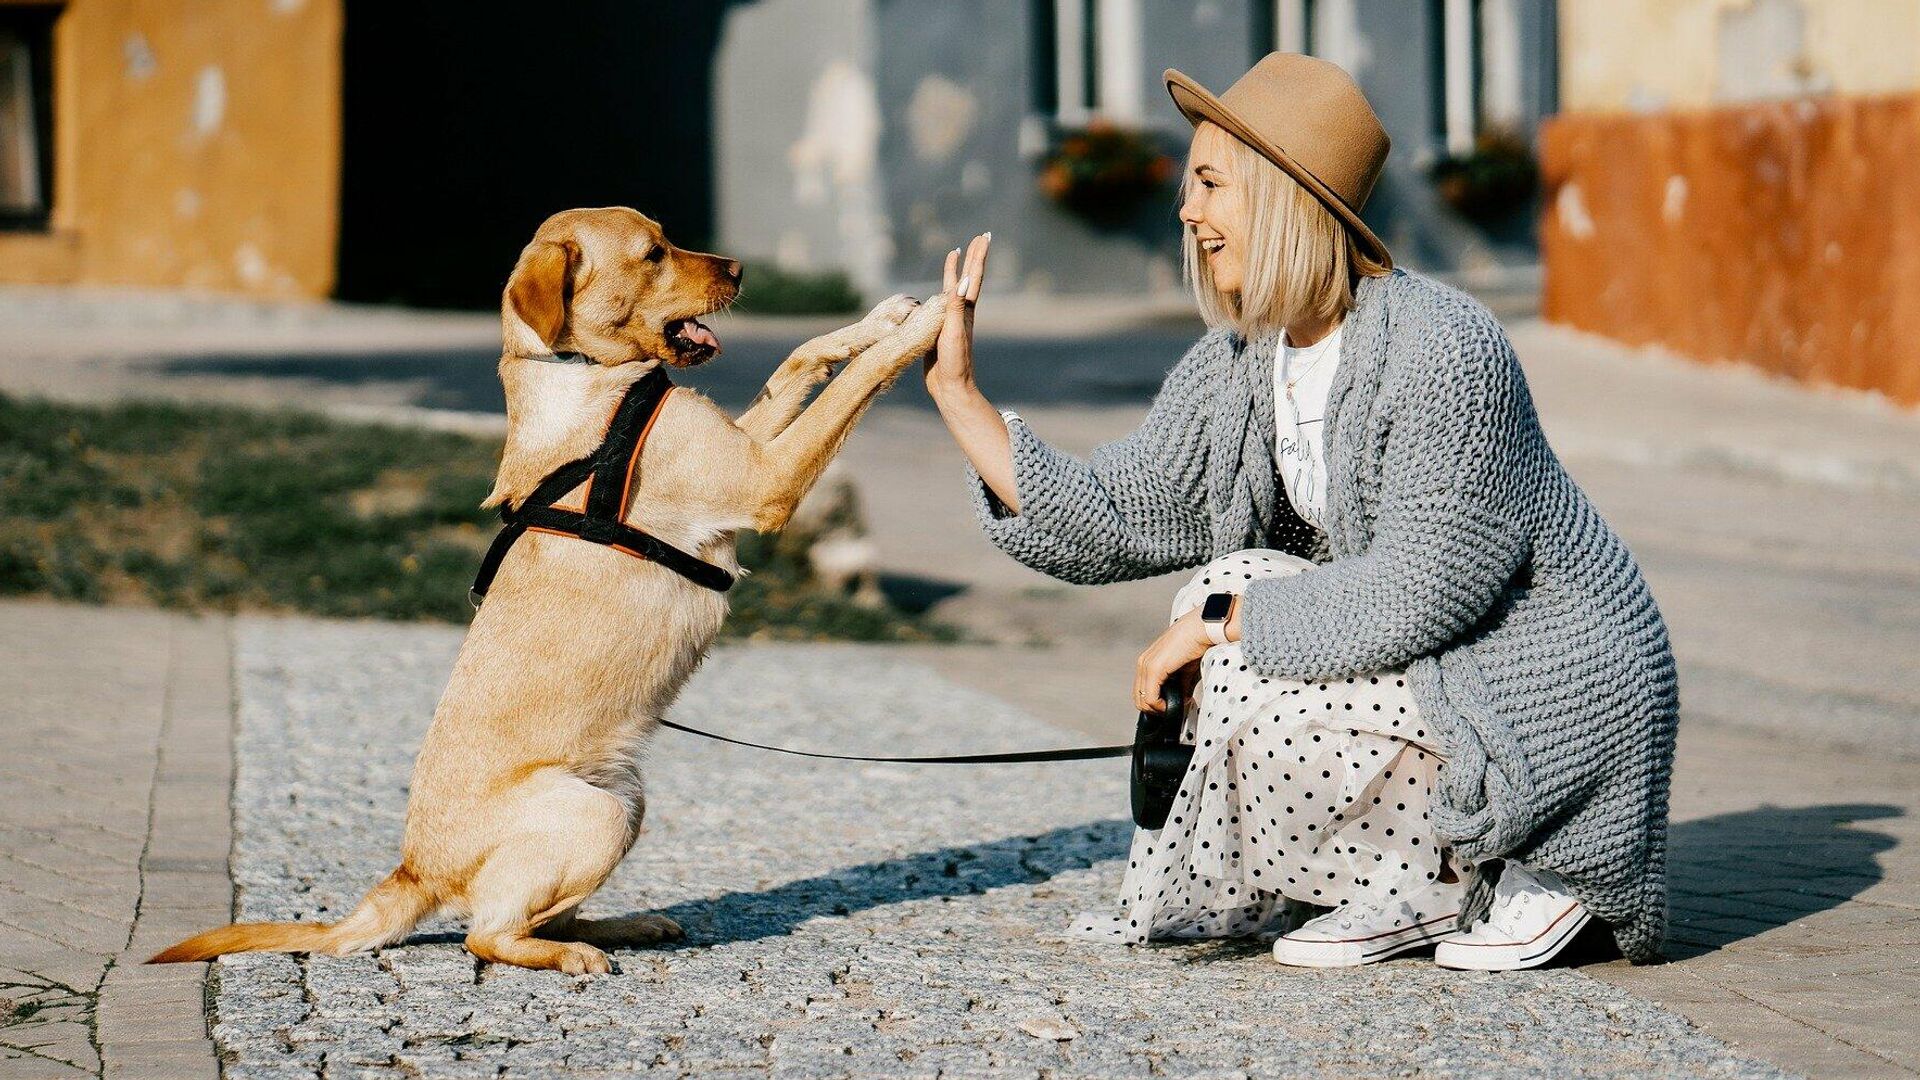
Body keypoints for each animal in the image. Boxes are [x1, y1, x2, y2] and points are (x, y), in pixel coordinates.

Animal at [153, 205, 948, 972]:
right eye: (653, 253)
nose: (741, 268)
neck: (582, 374)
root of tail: (413, 871)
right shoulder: (764, 480)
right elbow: (852, 384)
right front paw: (930, 323)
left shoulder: (747, 445)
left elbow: (801, 358)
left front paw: (882, 318)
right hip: (594, 816)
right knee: (487, 934)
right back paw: (572, 954)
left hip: (625, 799)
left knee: (537, 914)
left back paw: (624, 925)